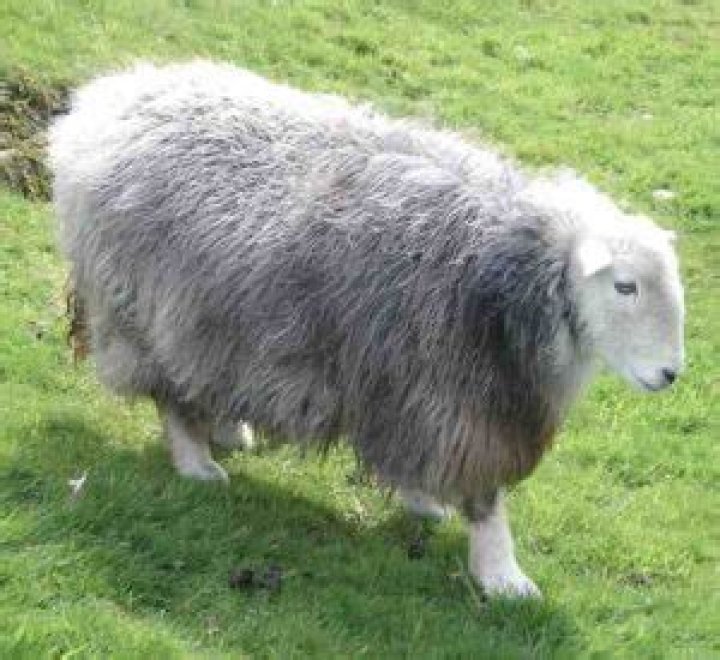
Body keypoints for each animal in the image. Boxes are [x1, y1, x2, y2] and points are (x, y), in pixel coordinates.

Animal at [49, 61, 685, 597]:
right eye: (624, 286)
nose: (670, 373)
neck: (516, 274)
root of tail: (100, 105)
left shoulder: (421, 395)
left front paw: (424, 503)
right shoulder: (460, 400)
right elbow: (485, 496)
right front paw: (503, 576)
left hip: (218, 319)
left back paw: (228, 427)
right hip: (147, 311)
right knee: (171, 393)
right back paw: (197, 461)